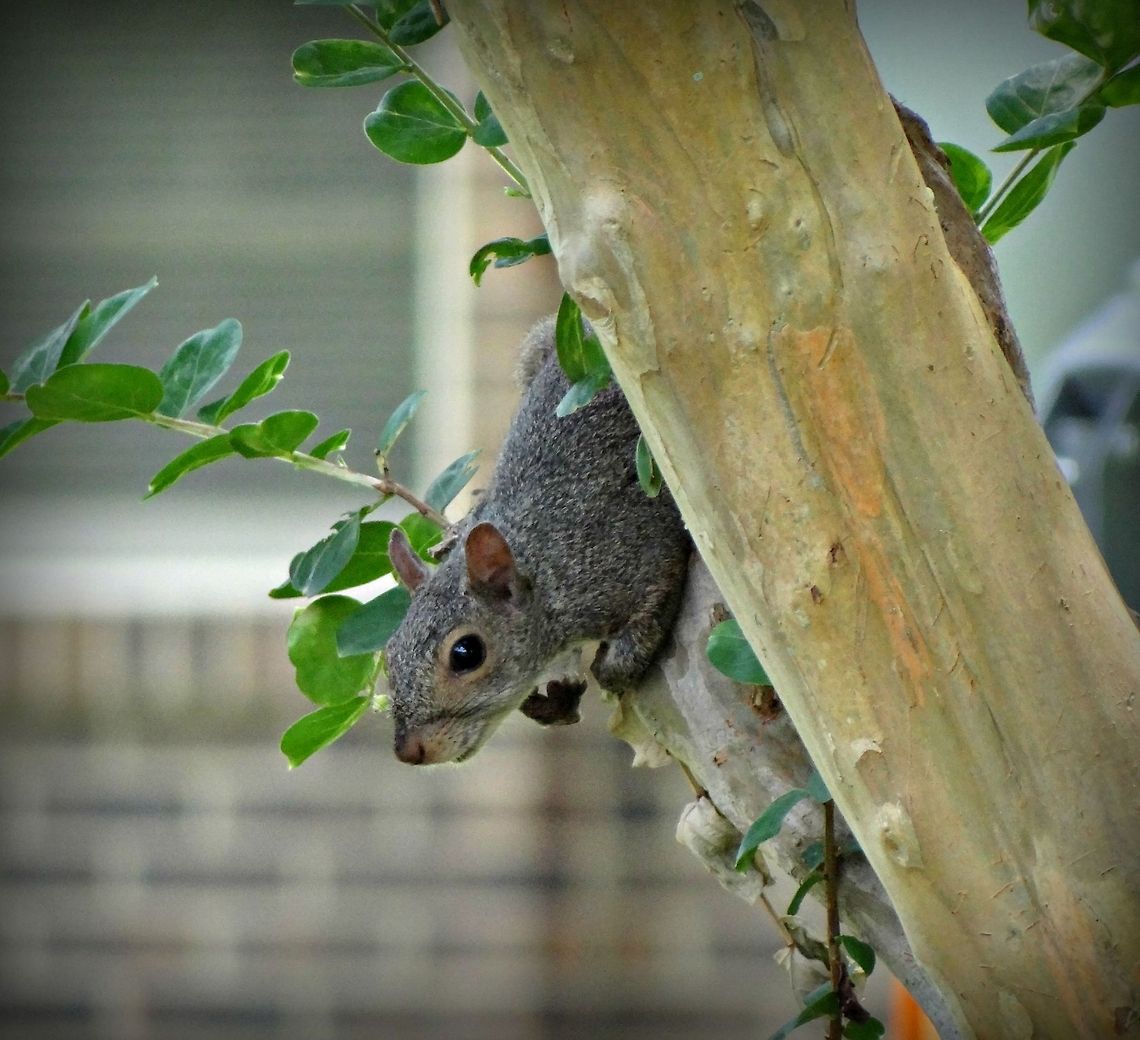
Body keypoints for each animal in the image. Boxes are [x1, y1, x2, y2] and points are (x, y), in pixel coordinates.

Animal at [384, 317, 691, 765]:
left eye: (466, 653)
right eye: (388, 655)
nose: (409, 751)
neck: (545, 568)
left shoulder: (637, 556)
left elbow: (645, 621)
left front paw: (608, 670)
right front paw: (559, 698)